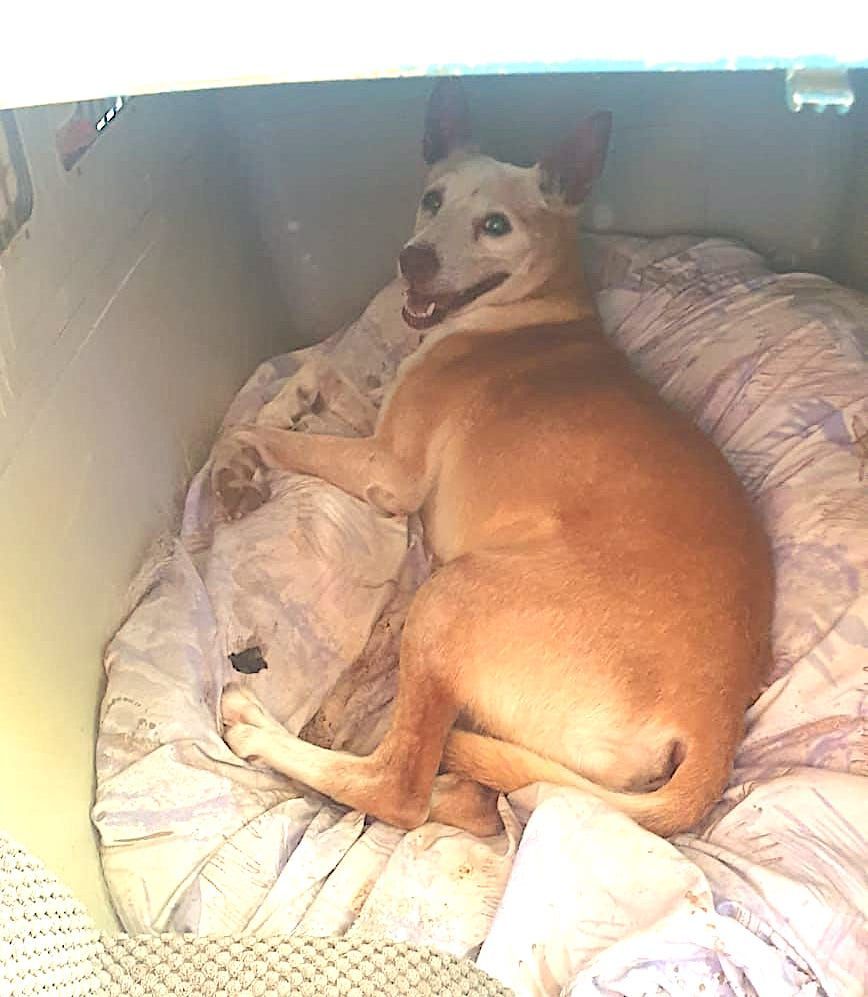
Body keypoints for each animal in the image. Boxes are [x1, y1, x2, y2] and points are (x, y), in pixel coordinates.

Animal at [213, 80, 773, 838]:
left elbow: (269, 434)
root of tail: (713, 718)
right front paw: (286, 401)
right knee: (478, 801)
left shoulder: (388, 471)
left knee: (398, 787)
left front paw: (238, 455)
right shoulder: (386, 433)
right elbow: (324, 375)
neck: (535, 307)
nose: (413, 260)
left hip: (448, 602)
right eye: (432, 199)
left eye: (497, 225)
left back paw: (261, 731)